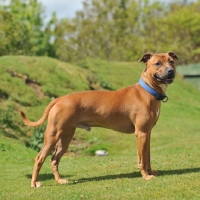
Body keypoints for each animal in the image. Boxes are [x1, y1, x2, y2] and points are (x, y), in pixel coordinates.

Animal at [20, 52, 178, 188]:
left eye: (171, 61)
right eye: (157, 63)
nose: (170, 71)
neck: (148, 90)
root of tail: (59, 99)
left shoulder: (147, 133)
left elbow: (147, 156)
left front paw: (150, 172)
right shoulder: (141, 133)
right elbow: (142, 159)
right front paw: (145, 176)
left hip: (65, 137)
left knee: (54, 159)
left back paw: (60, 180)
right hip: (53, 135)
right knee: (39, 158)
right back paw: (34, 183)